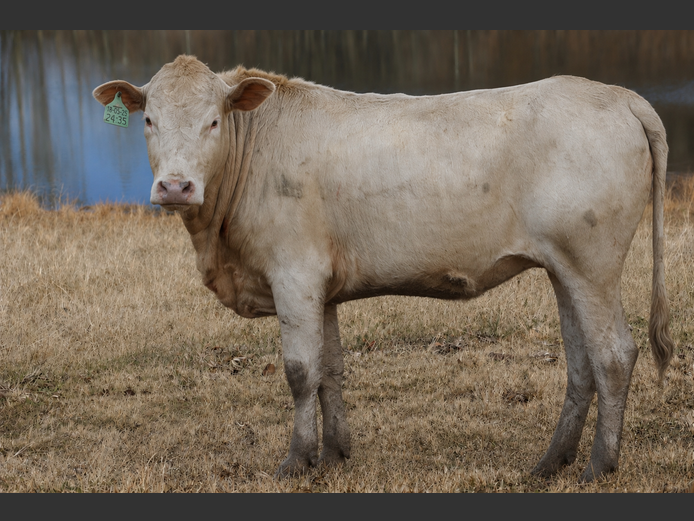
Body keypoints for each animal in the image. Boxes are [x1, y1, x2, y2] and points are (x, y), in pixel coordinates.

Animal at [93, 55, 674, 482]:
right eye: (149, 120)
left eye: (213, 120)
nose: (175, 186)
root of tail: (616, 94)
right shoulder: (321, 286)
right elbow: (329, 370)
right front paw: (333, 454)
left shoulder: (293, 274)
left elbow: (299, 371)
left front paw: (295, 461)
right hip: (564, 268)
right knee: (581, 364)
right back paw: (551, 462)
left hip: (592, 264)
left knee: (614, 356)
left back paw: (599, 466)